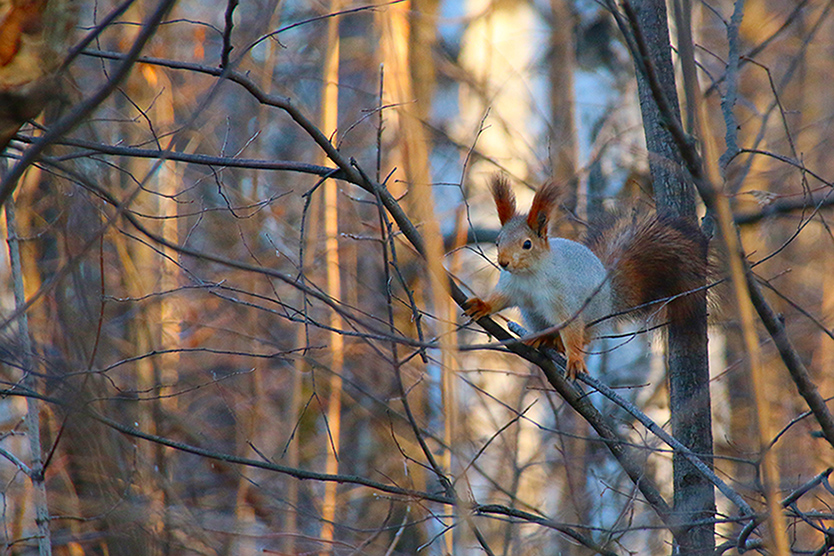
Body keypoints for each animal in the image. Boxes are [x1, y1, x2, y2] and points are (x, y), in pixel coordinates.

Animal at [464, 176, 704, 380]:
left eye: (527, 244)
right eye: (497, 241)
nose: (503, 262)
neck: (528, 275)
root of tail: (610, 295)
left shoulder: (562, 297)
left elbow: (571, 327)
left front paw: (574, 359)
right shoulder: (510, 286)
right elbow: (499, 300)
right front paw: (482, 305)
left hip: (592, 315)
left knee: (585, 335)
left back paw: (559, 342)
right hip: (533, 316)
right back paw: (544, 337)